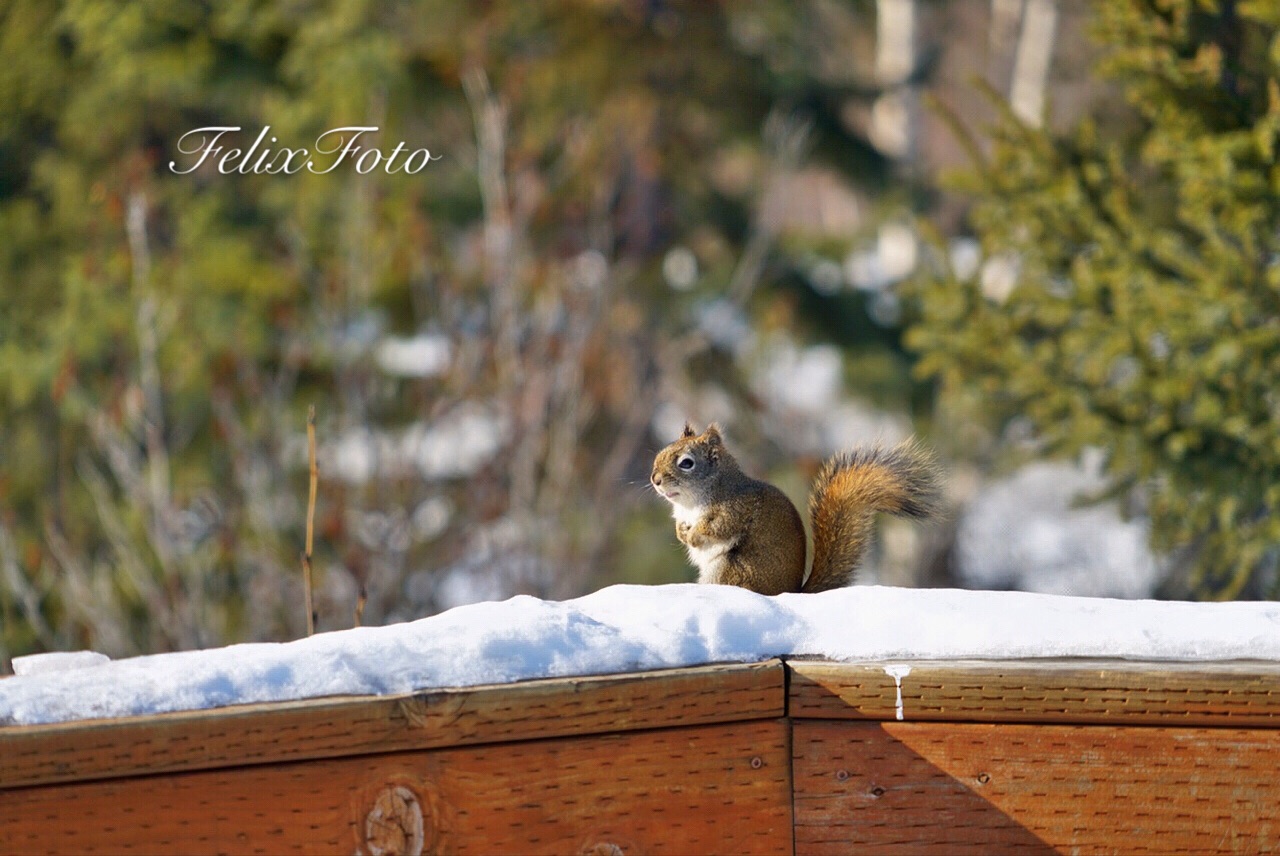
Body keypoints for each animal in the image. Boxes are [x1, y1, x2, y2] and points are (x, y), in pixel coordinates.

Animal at [650, 422, 942, 593]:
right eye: (661, 453)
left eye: (686, 463)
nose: (655, 480)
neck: (691, 501)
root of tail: (793, 591)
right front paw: (681, 532)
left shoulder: (736, 509)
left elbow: (718, 529)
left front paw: (693, 535)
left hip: (730, 570)